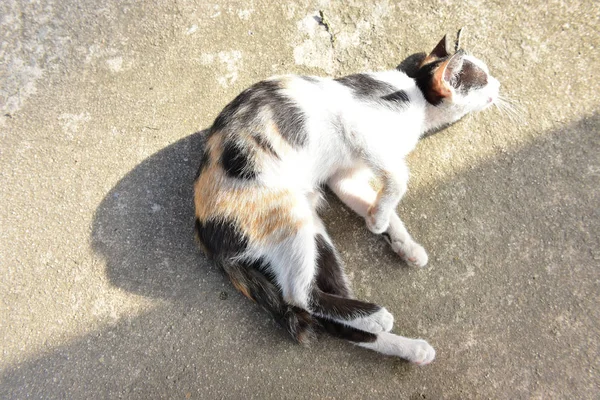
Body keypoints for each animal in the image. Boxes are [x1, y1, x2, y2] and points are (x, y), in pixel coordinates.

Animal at [195, 34, 500, 366]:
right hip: (285, 213)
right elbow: (398, 178)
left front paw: (397, 238)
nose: (499, 84)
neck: (417, 97)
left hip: (312, 232)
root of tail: (203, 232)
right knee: (299, 295)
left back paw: (408, 346)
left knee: (334, 318)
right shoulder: (359, 127)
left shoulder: (344, 177)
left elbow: (370, 196)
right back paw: (377, 316)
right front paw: (379, 222)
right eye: (482, 79)